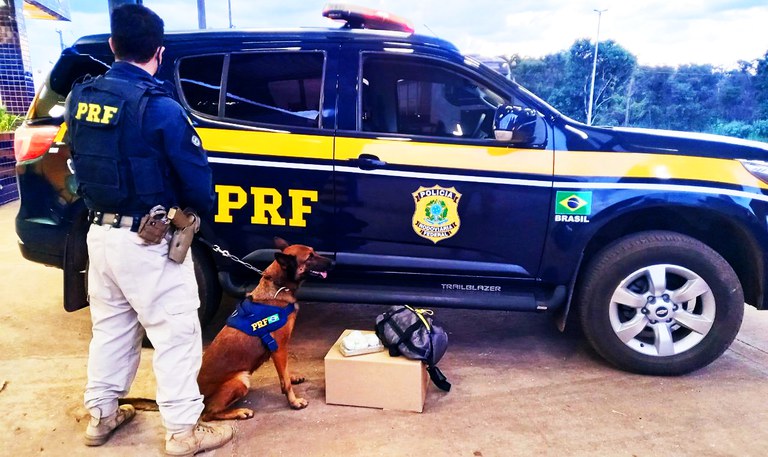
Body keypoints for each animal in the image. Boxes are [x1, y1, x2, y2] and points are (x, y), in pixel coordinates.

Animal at [196, 237, 332, 418]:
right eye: (309, 257)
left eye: (314, 251)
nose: (332, 262)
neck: (278, 287)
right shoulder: (279, 348)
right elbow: (285, 382)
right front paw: (294, 402)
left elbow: (284, 373)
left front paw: (291, 377)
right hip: (241, 379)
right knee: (210, 413)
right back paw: (240, 412)